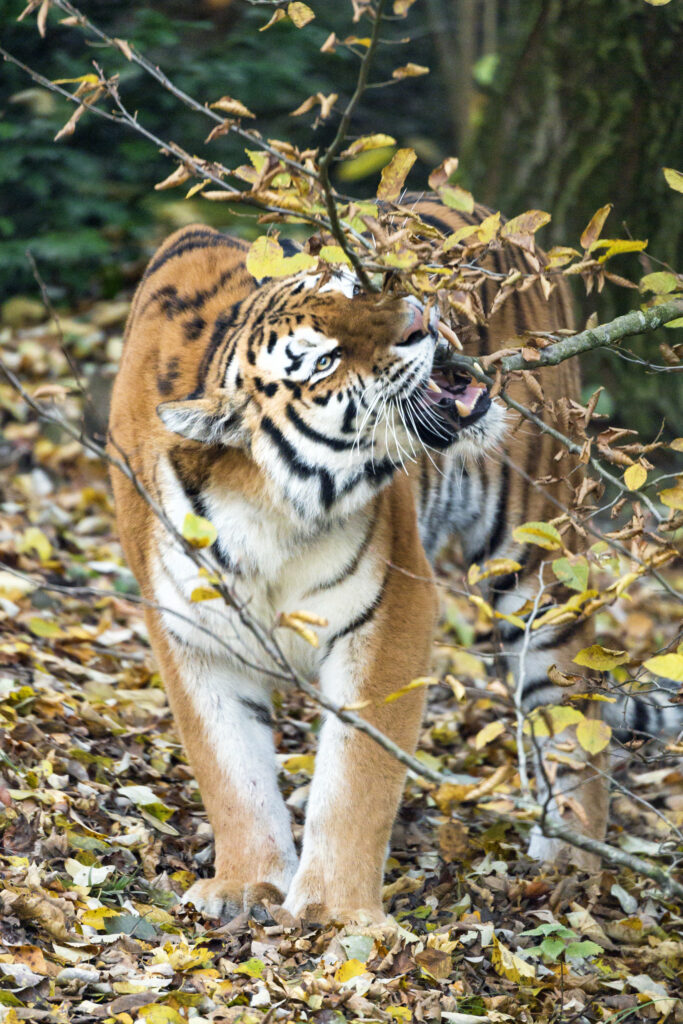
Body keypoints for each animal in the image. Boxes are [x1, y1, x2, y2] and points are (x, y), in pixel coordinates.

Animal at [108, 197, 679, 925]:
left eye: (360, 289)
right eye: (322, 360)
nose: (417, 319)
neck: (269, 505)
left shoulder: (391, 608)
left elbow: (356, 778)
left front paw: (331, 912)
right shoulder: (193, 636)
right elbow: (230, 772)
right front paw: (246, 884)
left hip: (540, 563)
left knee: (571, 715)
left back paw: (569, 863)